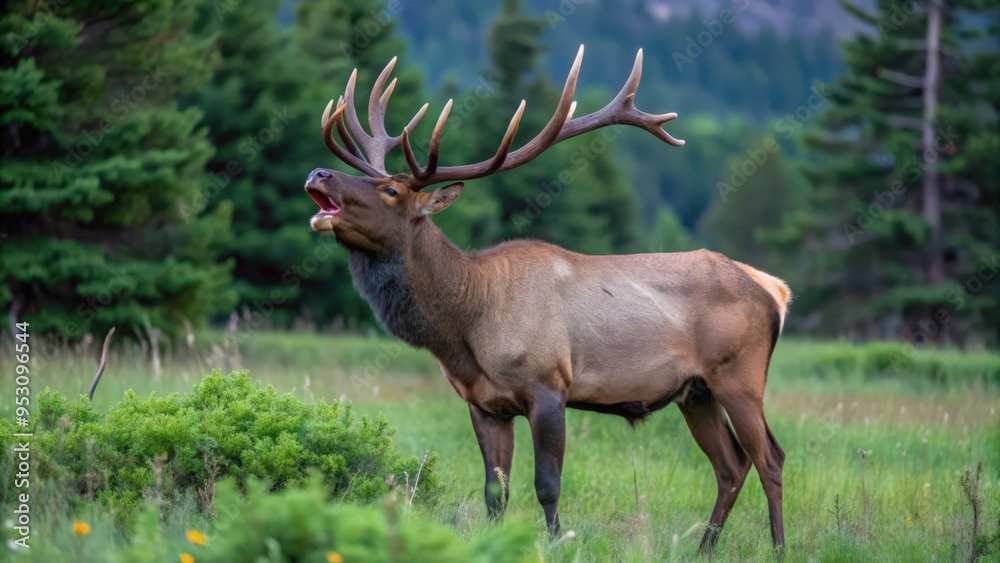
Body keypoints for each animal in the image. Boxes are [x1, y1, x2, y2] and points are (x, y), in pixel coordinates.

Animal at [303, 45, 791, 552]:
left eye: (391, 189)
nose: (318, 171)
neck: (467, 326)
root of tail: (774, 288)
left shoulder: (549, 385)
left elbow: (547, 486)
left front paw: (558, 544)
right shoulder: (484, 404)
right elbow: (495, 491)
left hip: (738, 375)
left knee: (770, 458)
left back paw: (778, 548)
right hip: (695, 391)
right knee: (731, 465)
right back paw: (704, 549)